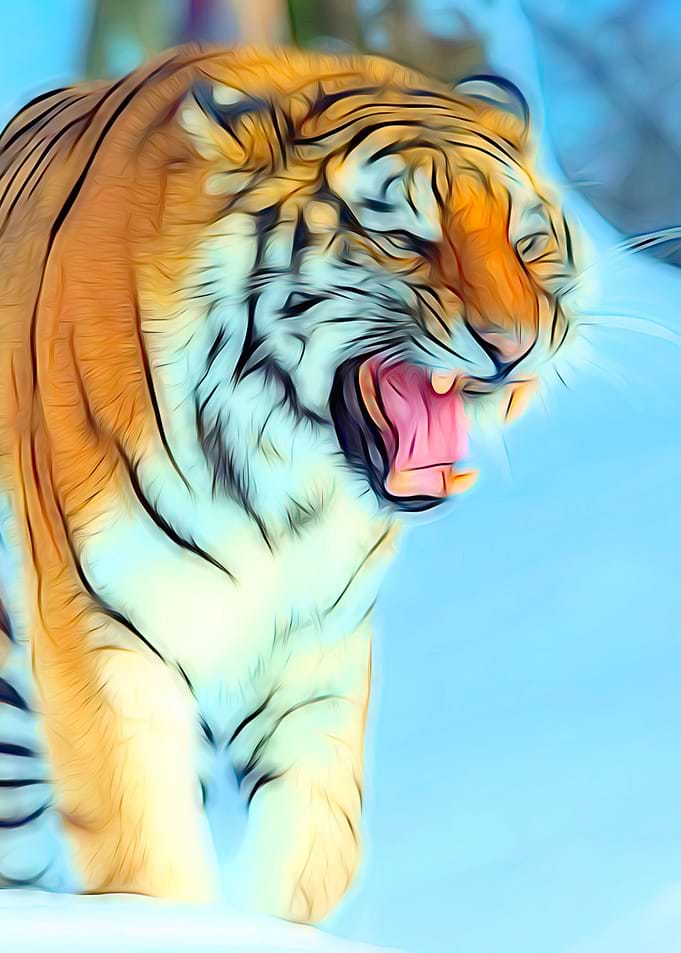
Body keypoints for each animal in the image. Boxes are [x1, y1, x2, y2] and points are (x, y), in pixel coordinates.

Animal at [0, 45, 579, 923]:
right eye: (403, 238)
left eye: (526, 242)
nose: (513, 345)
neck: (281, 490)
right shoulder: (99, 631)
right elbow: (146, 850)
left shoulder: (315, 654)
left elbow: (312, 844)